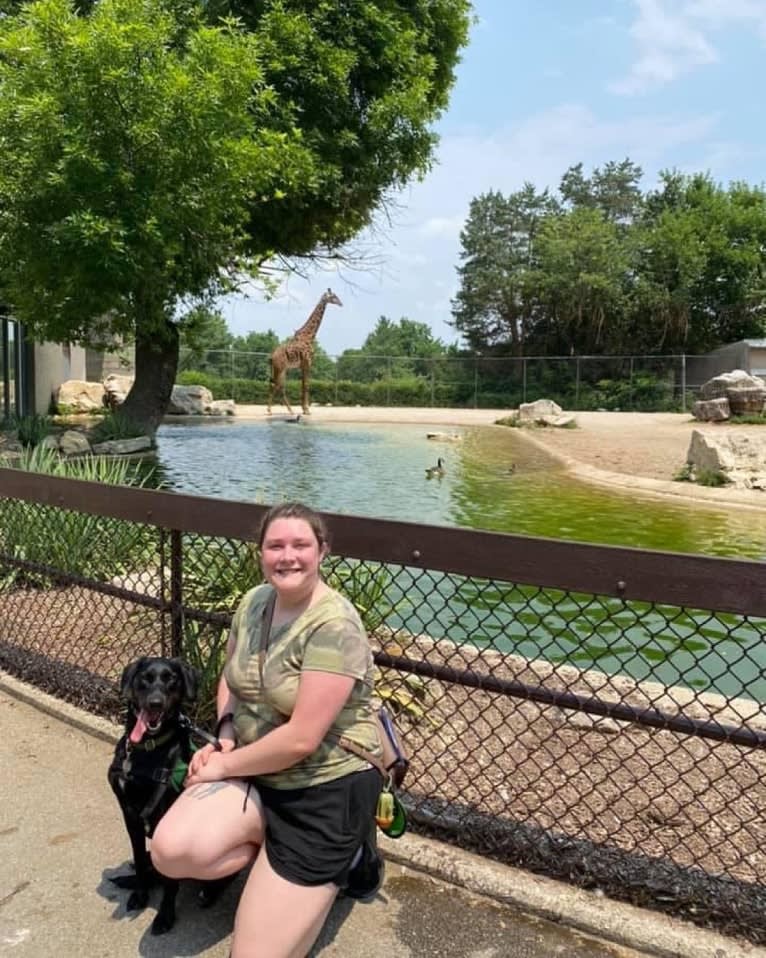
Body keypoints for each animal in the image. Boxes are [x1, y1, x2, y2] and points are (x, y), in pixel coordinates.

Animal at [107, 656, 198, 932]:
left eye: (171, 679)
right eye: (145, 678)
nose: (155, 703)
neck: (147, 747)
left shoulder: (162, 822)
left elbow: (170, 880)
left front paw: (165, 915)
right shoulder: (131, 817)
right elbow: (138, 856)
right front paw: (140, 893)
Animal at [268, 288, 344, 416]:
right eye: (333, 296)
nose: (341, 303)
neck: (310, 335)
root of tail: (272, 357)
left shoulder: (303, 365)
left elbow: (303, 384)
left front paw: (304, 409)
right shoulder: (308, 362)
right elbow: (307, 384)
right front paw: (307, 410)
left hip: (279, 369)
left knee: (276, 385)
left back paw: (286, 410)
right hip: (281, 368)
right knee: (278, 385)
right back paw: (275, 410)